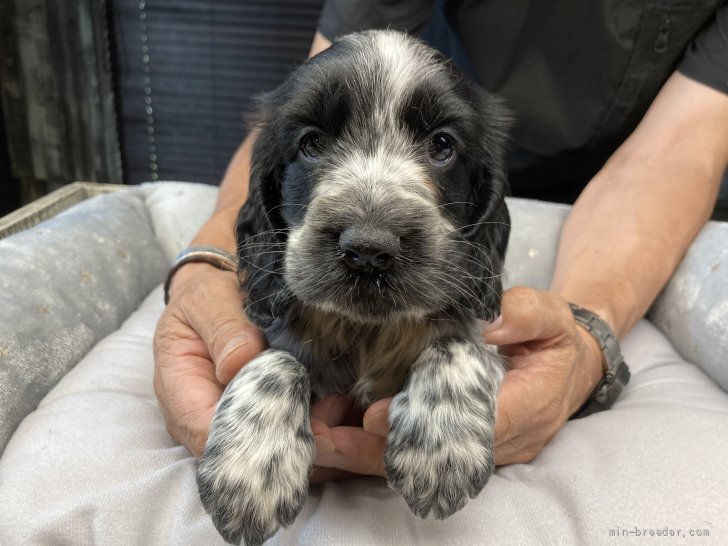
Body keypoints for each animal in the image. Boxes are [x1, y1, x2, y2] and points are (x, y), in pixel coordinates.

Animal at [196, 30, 510, 544]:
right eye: (311, 143)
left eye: (442, 145)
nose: (367, 250)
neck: (367, 330)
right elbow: (277, 361)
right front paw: (247, 471)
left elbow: (456, 346)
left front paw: (442, 451)